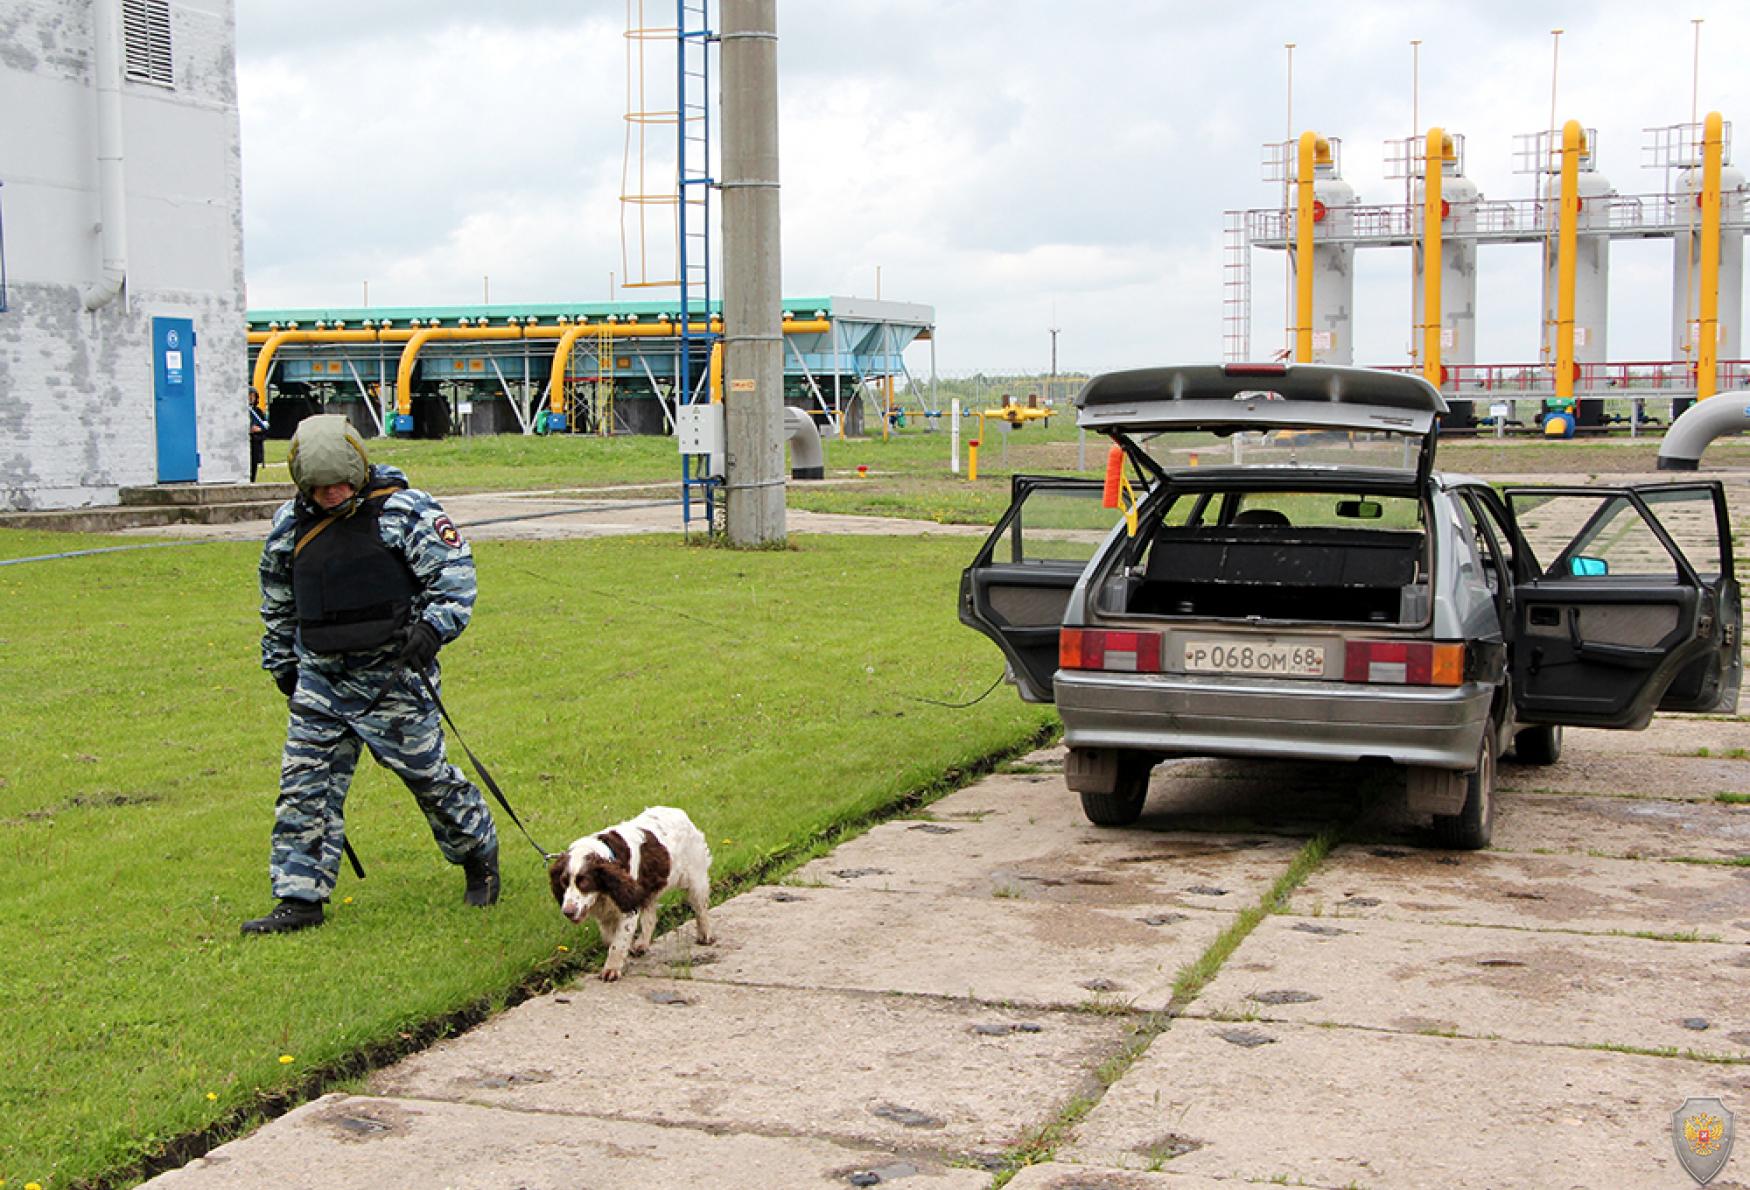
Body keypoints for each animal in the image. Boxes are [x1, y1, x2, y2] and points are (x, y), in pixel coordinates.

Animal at [546, 805, 710, 980]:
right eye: (563, 882)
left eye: (584, 882)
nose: (567, 912)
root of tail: (679, 811)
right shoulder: (609, 914)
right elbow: (611, 939)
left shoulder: (628, 905)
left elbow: (618, 943)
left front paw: (611, 970)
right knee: (651, 917)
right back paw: (642, 944)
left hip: (695, 879)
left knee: (701, 909)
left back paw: (705, 936)